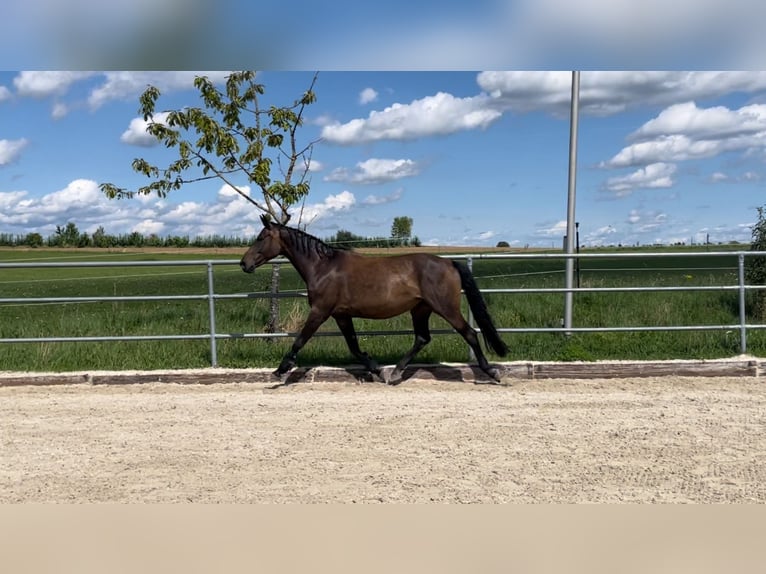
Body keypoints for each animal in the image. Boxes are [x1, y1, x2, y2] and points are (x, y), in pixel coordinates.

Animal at [242, 216, 510, 388]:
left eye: (261, 237)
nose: (244, 263)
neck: (323, 267)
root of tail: (449, 263)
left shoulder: (320, 311)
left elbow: (300, 339)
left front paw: (281, 370)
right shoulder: (341, 314)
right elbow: (353, 346)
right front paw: (377, 369)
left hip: (445, 307)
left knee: (469, 333)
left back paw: (492, 373)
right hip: (420, 309)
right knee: (422, 338)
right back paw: (395, 373)